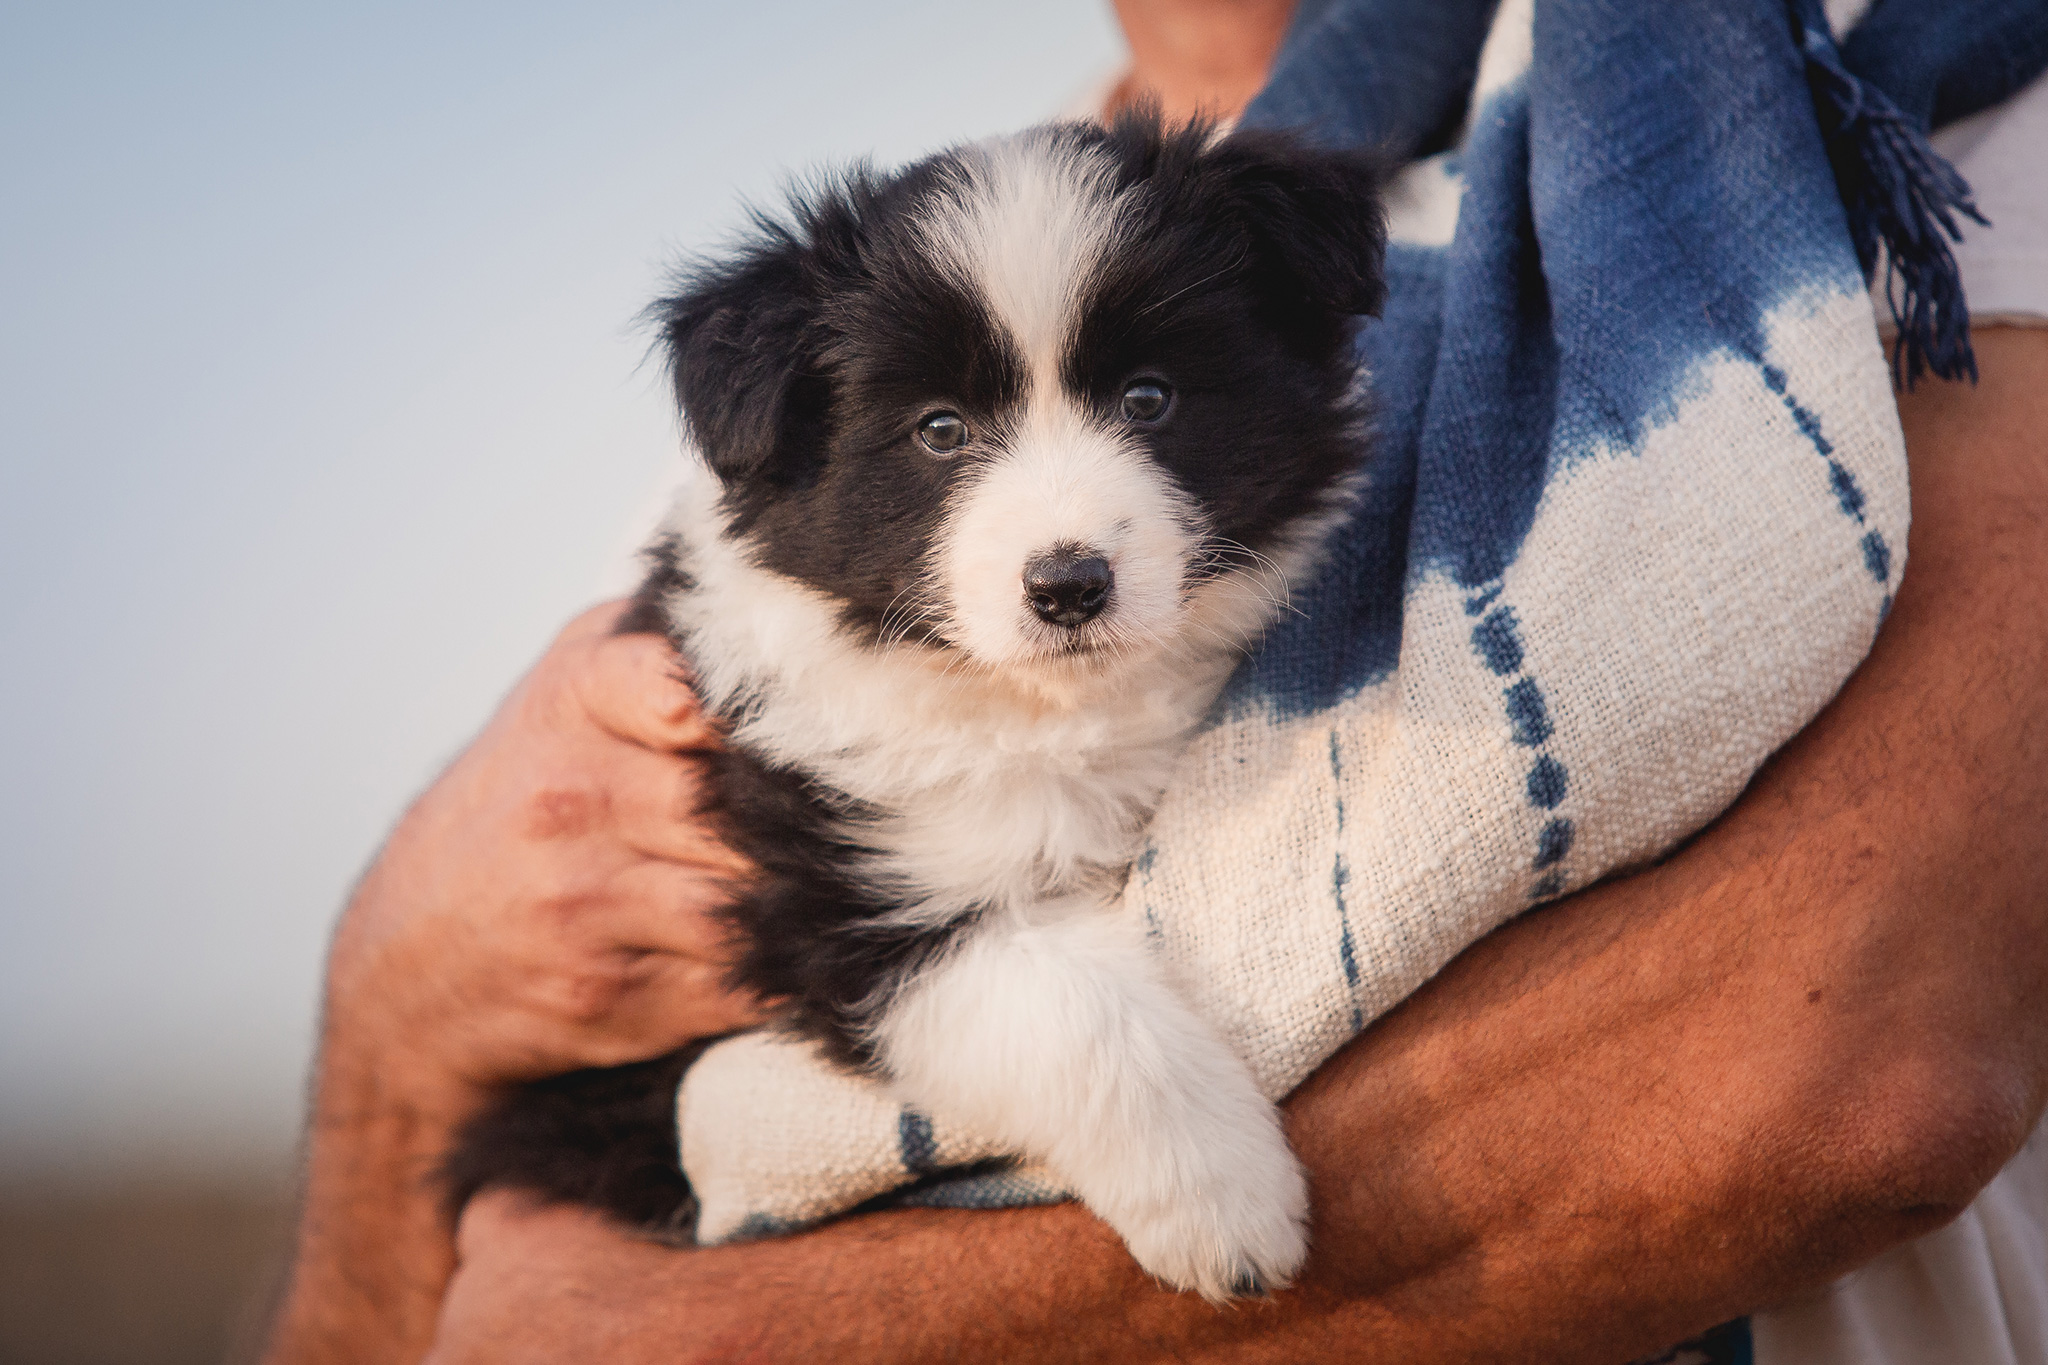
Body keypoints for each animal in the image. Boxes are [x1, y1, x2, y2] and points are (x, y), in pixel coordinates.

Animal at [444, 112, 1376, 1301]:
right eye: (939, 430)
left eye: (1149, 398)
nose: (1067, 584)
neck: (1040, 705)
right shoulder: (850, 894)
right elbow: (1071, 1009)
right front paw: (1228, 1210)